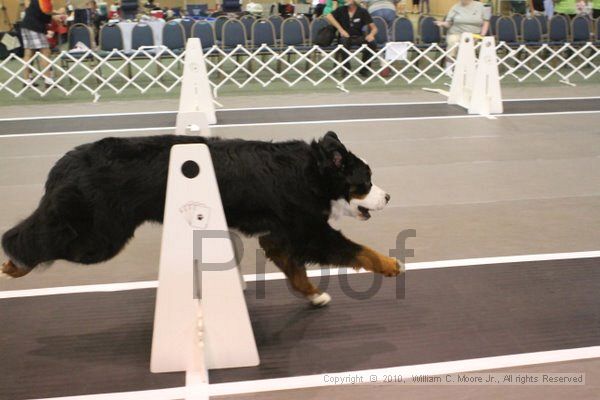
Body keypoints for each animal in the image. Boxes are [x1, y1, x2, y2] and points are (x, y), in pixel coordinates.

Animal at [3, 133, 404, 304]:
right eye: (365, 181)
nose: (388, 196)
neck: (309, 173)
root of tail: (69, 160)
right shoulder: (307, 229)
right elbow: (357, 249)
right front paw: (391, 265)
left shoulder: (279, 234)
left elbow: (295, 269)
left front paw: (314, 295)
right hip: (100, 235)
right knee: (33, 238)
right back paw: (15, 263)